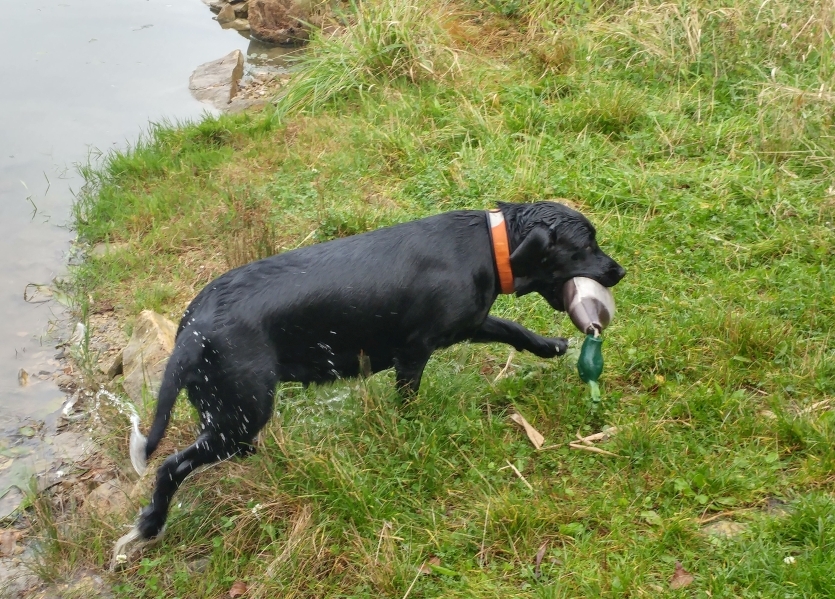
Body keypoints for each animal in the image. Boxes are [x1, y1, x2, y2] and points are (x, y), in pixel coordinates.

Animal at [114, 202, 628, 568]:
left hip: (229, 412)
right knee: (171, 467)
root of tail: (194, 326)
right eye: (586, 245)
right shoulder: (415, 351)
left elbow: (512, 329)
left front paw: (548, 346)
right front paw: (412, 433)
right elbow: (409, 400)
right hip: (243, 411)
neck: (489, 244)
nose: (620, 271)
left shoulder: (470, 322)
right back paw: (150, 525)